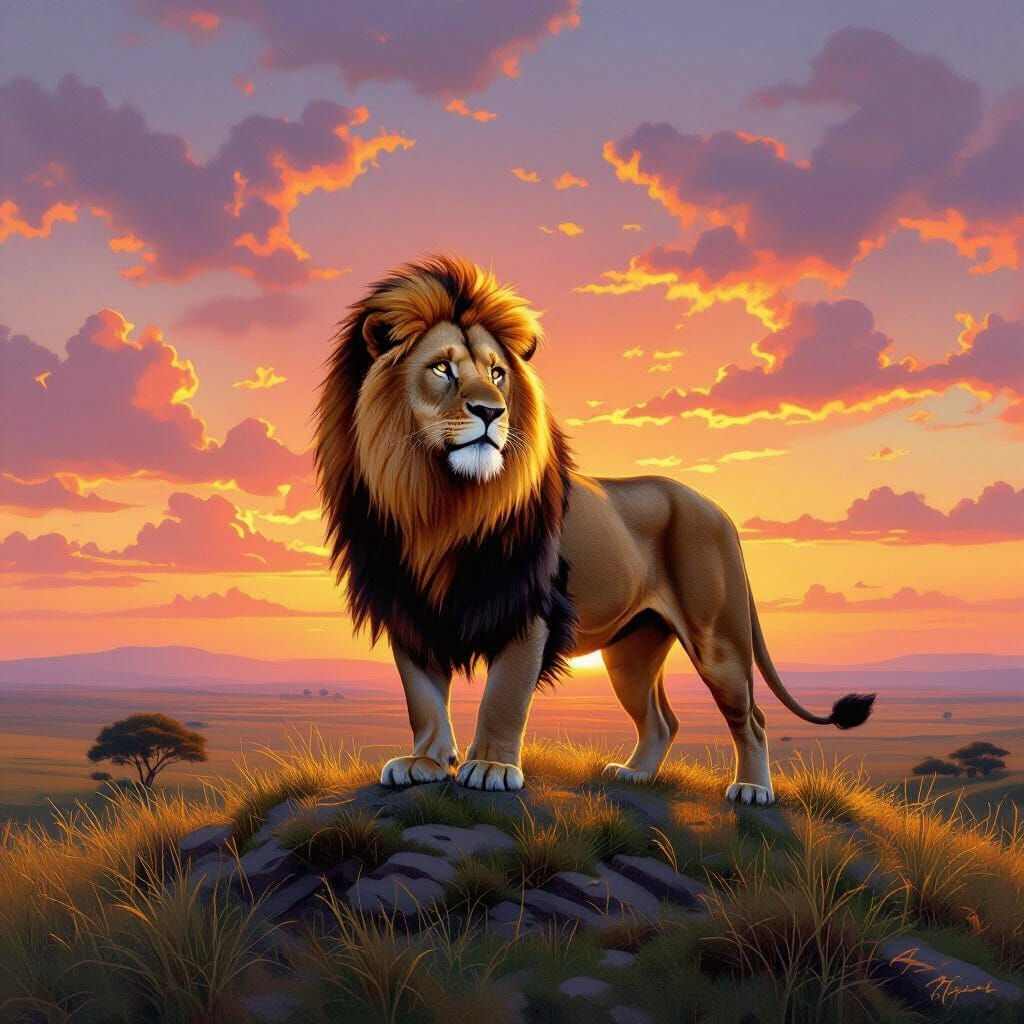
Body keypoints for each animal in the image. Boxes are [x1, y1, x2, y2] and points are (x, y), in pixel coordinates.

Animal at [315, 254, 874, 805]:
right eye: (441, 368)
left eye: (497, 374)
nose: (492, 412)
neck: (437, 503)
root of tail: (716, 508)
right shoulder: (407, 608)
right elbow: (423, 698)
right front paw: (426, 763)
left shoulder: (531, 608)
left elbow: (503, 696)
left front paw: (492, 767)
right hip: (631, 652)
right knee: (662, 720)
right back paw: (635, 776)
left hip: (718, 640)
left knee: (752, 719)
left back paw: (754, 790)